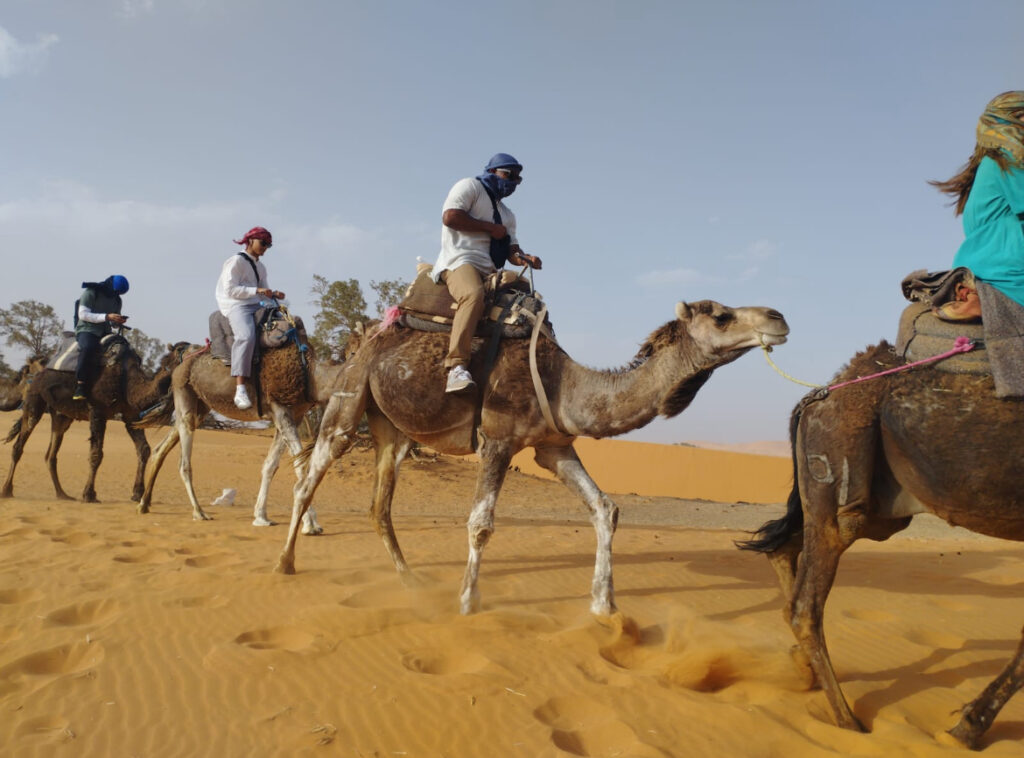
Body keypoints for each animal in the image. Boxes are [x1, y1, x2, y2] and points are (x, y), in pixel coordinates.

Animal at [2, 339, 188, 503]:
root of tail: (32, 371)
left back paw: (62, 494)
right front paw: (89, 494)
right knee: (19, 445)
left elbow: (144, 449)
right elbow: (96, 454)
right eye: (181, 349)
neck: (127, 382)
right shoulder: (98, 412)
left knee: (51, 454)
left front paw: (137, 494)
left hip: (61, 415)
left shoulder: (131, 416)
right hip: (33, 402)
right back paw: (6, 490)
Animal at [136, 339, 347, 533]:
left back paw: (144, 504)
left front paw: (261, 516)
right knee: (184, 462)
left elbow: (270, 465)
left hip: (200, 406)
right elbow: (301, 465)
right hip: (184, 392)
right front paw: (311, 524)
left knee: (161, 448)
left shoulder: (293, 415)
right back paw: (199, 512)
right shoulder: (281, 410)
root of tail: (180, 361)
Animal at [275, 300, 790, 615]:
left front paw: (604, 606)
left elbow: (605, 508)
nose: (778, 317)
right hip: (350, 398)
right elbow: (480, 523)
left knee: (379, 503)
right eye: (721, 316)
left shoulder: (553, 445)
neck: (565, 384)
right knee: (308, 477)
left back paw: (410, 580)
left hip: (392, 427)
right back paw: (285, 563)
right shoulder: (499, 440)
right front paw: (468, 602)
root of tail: (362, 340)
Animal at [738, 340, 1024, 749]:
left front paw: (967, 726)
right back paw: (849, 723)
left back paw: (802, 667)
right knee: (806, 602)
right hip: (841, 466)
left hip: (878, 507)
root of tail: (817, 397)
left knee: (784, 551)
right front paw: (964, 730)